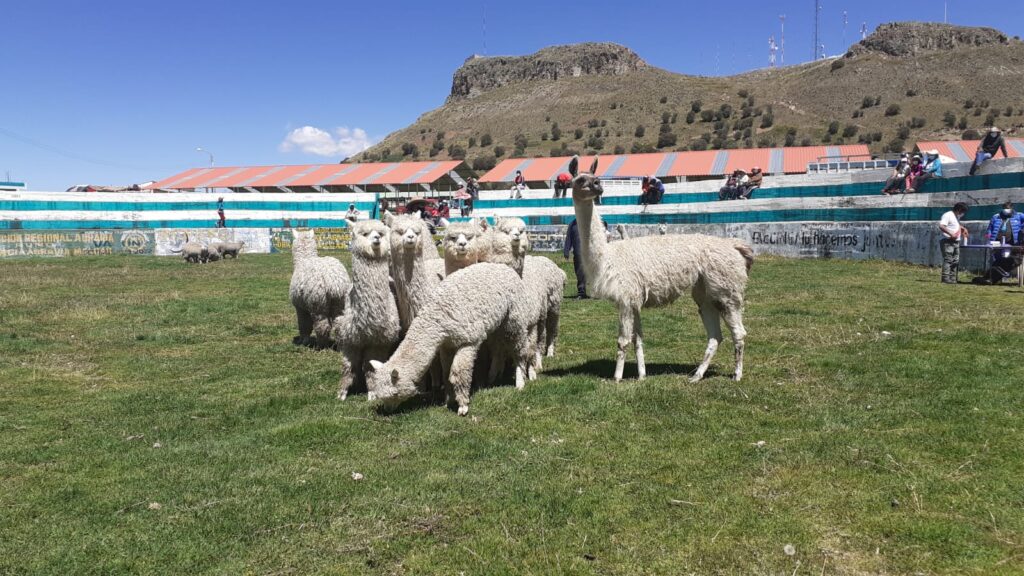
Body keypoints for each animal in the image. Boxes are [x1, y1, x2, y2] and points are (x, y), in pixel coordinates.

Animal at [331, 220, 402, 400]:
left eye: (380, 233)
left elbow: (370, 367)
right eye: (364, 234)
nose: (376, 238)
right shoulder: (349, 340)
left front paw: (372, 393)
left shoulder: (378, 343)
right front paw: (342, 393)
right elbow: (348, 366)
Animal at [366, 263, 536, 416]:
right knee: (498, 348)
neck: (438, 319)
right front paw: (448, 401)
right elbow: (446, 372)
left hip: (514, 316)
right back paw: (492, 377)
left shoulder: (468, 341)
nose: (388, 410)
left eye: (394, 394)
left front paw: (463, 406)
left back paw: (520, 382)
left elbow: (458, 373)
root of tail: (507, 267)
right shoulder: (446, 345)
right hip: (498, 322)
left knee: (520, 347)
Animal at [567, 156, 753, 382]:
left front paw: (617, 378)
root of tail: (735, 246)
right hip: (706, 292)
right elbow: (638, 339)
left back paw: (737, 375)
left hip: (727, 289)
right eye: (579, 180)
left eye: (596, 177)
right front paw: (641, 375)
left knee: (739, 332)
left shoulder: (625, 297)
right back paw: (697, 376)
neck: (607, 257)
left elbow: (623, 340)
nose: (597, 186)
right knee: (715, 336)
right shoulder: (634, 299)